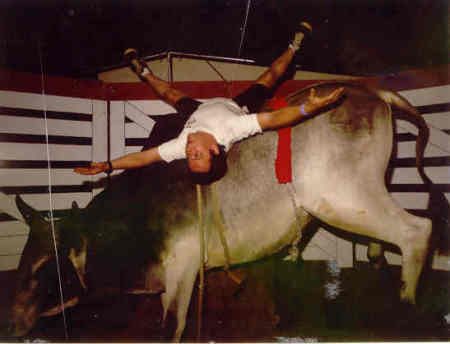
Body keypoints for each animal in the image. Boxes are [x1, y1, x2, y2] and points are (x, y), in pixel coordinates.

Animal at [7, 82, 442, 340]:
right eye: (23, 259)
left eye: (44, 266)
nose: (11, 324)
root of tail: (371, 91)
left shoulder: (182, 269)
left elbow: (170, 327)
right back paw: (377, 260)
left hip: (342, 199)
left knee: (417, 230)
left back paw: (406, 304)